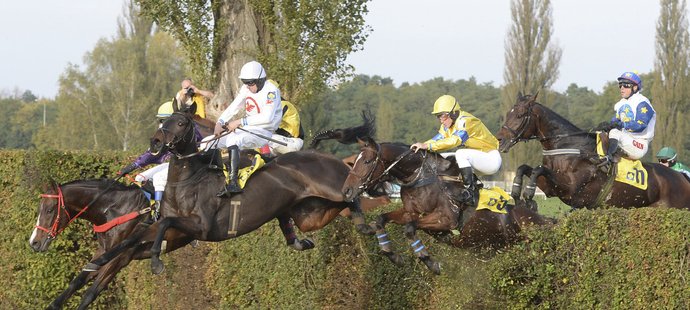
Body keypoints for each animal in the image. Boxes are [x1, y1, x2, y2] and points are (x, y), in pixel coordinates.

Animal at [310, 120, 552, 274]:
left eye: (367, 162)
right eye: (354, 162)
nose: (346, 191)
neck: (420, 177)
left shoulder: (445, 220)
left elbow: (410, 229)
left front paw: (429, 262)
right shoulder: (409, 212)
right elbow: (380, 220)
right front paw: (392, 254)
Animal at [494, 93, 688, 209]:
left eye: (519, 115)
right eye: (508, 113)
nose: (499, 139)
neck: (569, 145)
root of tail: (682, 177)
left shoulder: (570, 188)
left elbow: (537, 170)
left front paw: (528, 194)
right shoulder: (551, 188)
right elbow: (525, 168)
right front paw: (516, 192)